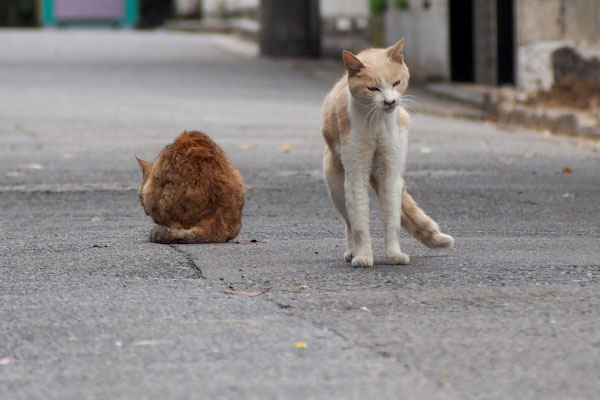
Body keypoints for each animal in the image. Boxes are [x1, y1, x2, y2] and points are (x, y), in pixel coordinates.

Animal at [322, 39, 452, 268]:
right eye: (372, 88)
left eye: (396, 83)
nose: (390, 102)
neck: (376, 122)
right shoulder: (356, 176)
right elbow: (359, 224)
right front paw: (364, 256)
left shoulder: (390, 175)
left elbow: (392, 221)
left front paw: (394, 255)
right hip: (337, 187)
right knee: (349, 222)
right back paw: (352, 252)